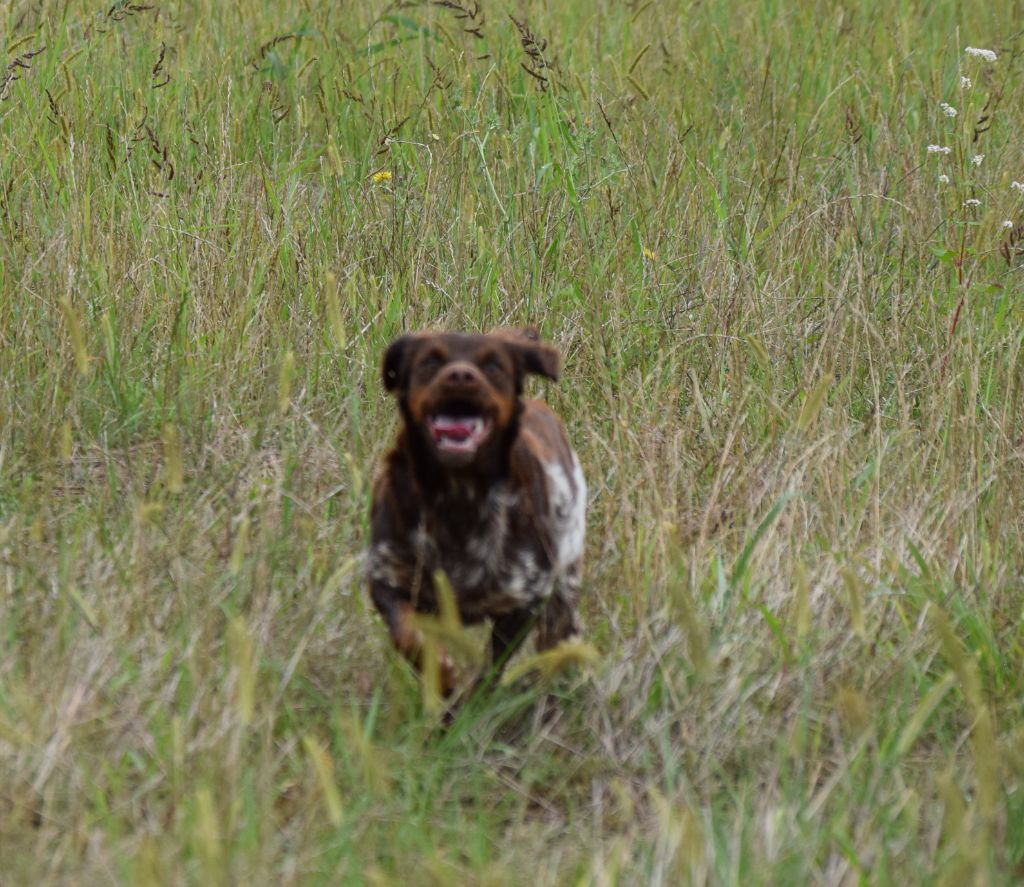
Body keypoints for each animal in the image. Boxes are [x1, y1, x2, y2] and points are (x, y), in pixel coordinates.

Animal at [368, 327, 585, 696]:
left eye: (494, 365)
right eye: (429, 361)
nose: (460, 376)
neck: (458, 499)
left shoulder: (524, 599)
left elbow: (492, 668)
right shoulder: (387, 578)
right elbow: (408, 634)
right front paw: (441, 674)